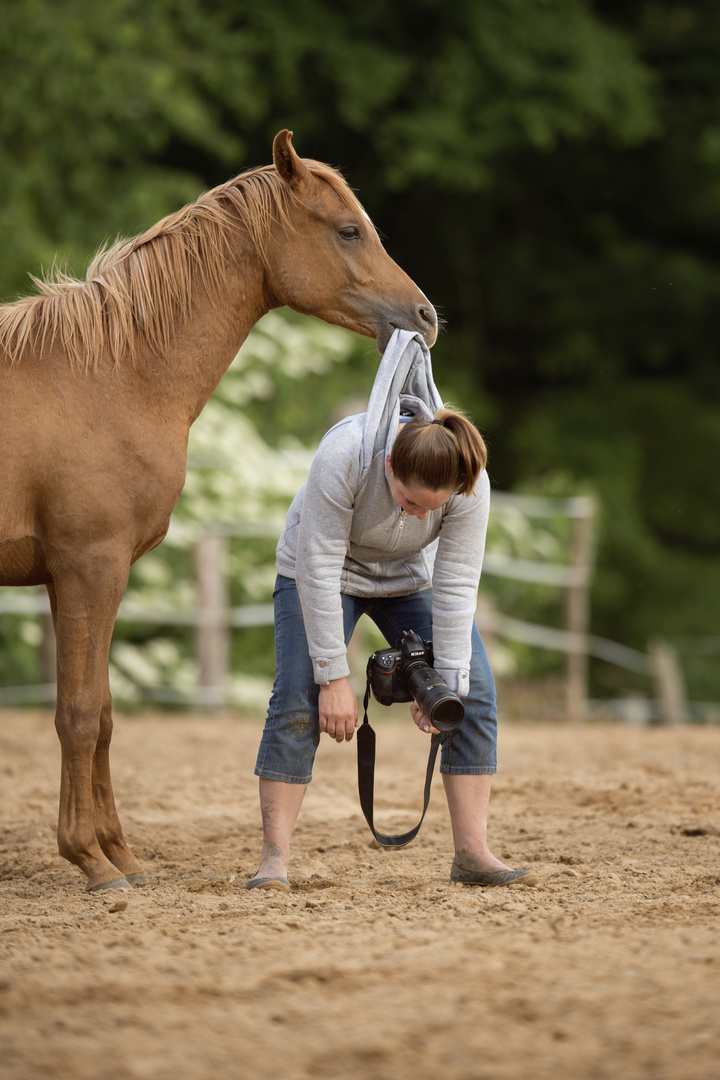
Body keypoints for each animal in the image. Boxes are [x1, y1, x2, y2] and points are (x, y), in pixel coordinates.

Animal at [0, 130, 436, 889]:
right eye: (348, 230)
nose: (425, 316)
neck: (108, 375)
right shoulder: (89, 567)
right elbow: (79, 713)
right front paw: (92, 860)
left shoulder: (78, 577)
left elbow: (103, 711)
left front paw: (119, 851)